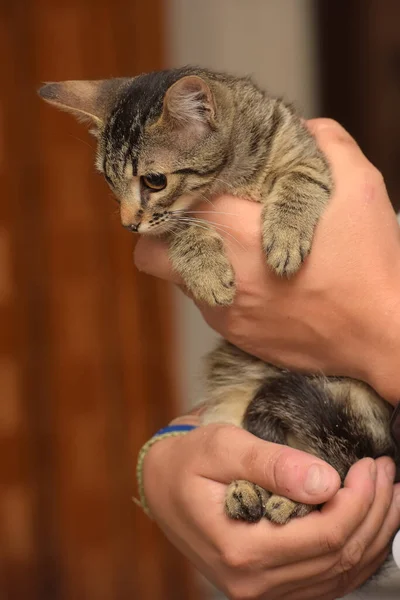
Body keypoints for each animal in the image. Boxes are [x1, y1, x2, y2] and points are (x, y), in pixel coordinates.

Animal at [37, 68, 396, 532]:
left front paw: (285, 234)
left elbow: (302, 179)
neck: (229, 177)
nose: (128, 225)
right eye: (109, 181)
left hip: (358, 409)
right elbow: (177, 227)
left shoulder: (306, 154)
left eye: (154, 180)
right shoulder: (160, 231)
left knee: (346, 458)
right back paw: (249, 490)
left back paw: (289, 499)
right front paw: (206, 270)